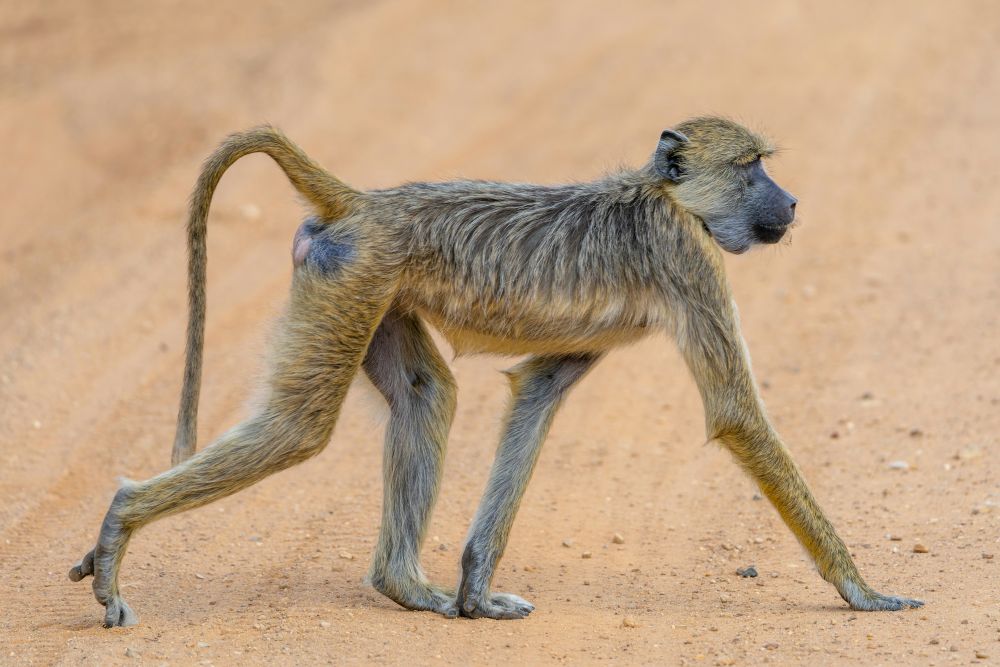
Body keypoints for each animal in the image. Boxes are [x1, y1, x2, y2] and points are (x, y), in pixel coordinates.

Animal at [69, 117, 923, 627]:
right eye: (750, 169)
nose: (793, 203)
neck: (663, 195)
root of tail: (366, 204)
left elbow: (537, 393)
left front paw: (477, 589)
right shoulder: (687, 260)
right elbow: (739, 416)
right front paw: (864, 589)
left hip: (364, 289)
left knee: (427, 398)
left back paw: (408, 586)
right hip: (352, 279)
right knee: (299, 428)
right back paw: (120, 525)